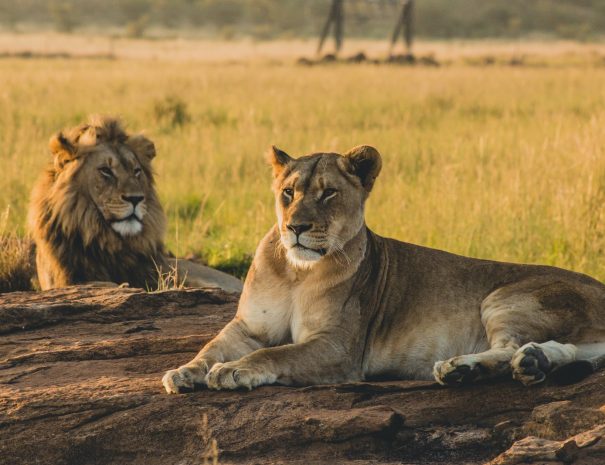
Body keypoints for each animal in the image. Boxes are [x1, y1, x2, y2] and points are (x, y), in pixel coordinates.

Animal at [160, 145, 604, 392]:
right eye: (288, 192)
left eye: (329, 193)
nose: (296, 227)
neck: (297, 273)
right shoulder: (248, 327)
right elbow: (211, 346)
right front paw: (184, 372)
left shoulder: (338, 348)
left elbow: (276, 354)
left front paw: (234, 371)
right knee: (560, 350)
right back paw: (533, 364)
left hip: (504, 297)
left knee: (509, 347)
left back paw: (463, 369)